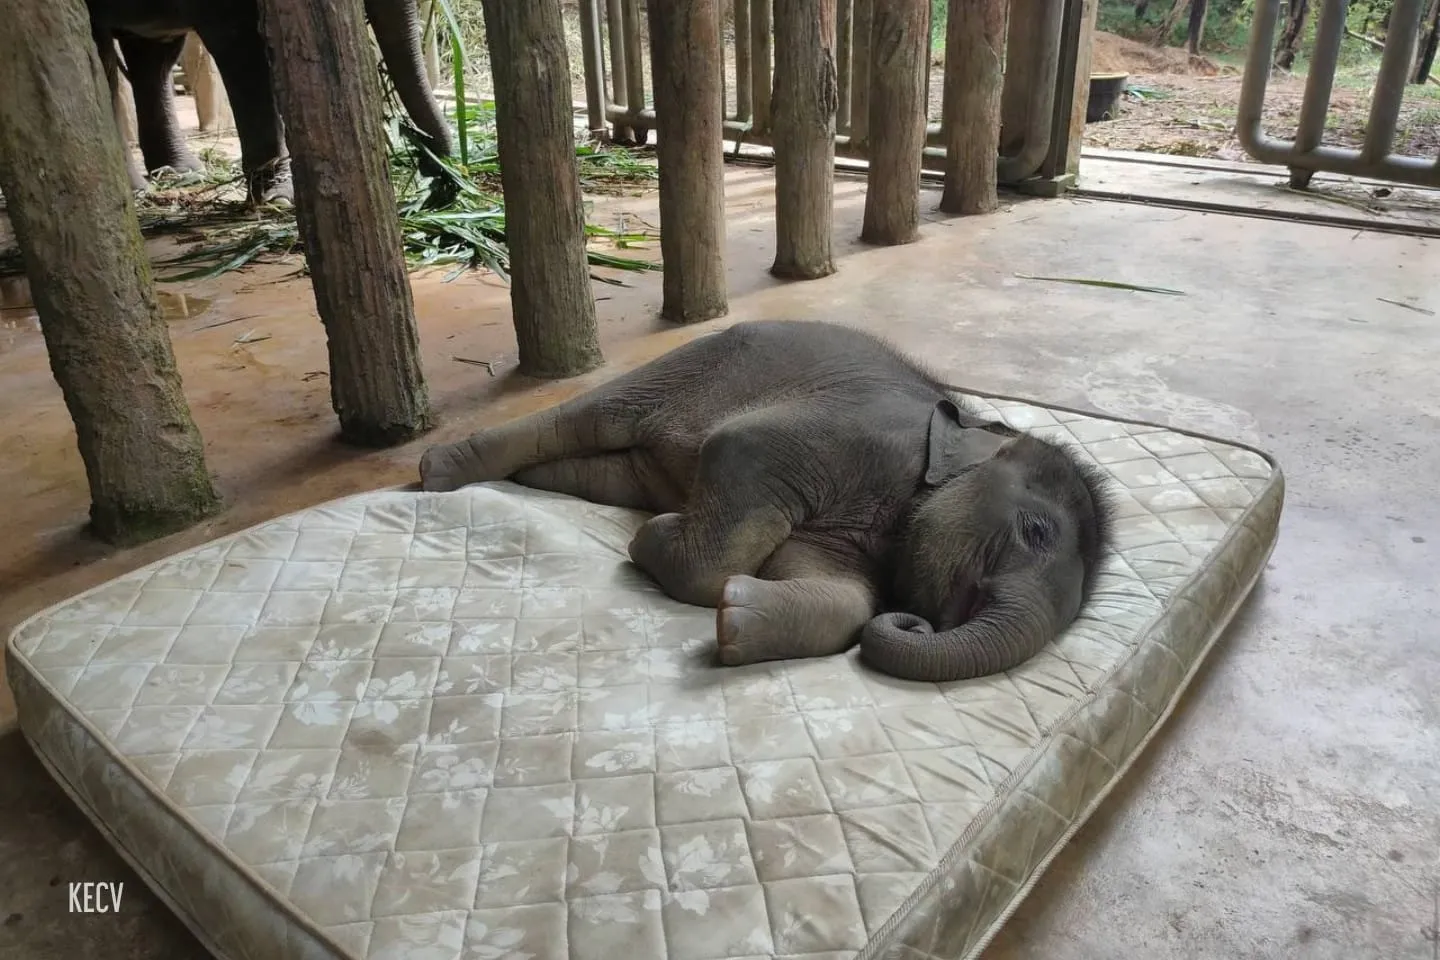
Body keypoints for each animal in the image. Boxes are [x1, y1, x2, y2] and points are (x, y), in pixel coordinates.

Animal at [86, 0, 453, 205]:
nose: (443, 172)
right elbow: (244, 47)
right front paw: (281, 199)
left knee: (152, 56)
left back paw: (179, 172)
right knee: (103, 60)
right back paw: (136, 190)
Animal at [419, 320, 1116, 683]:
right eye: (1035, 531)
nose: (915, 621)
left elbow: (840, 594)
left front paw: (737, 621)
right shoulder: (855, 436)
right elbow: (741, 447)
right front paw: (653, 538)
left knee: (609, 469)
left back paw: (544, 481)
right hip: (689, 366)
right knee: (589, 417)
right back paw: (439, 472)